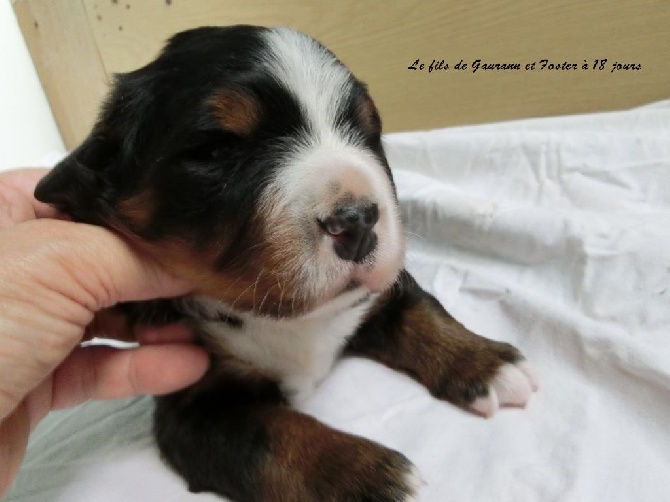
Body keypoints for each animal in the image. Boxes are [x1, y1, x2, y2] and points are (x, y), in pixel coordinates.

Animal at [34, 24, 540, 502]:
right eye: (216, 150)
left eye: (366, 131)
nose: (356, 219)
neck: (292, 320)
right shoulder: (196, 407)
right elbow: (273, 439)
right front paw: (368, 478)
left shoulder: (380, 291)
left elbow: (422, 312)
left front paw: (488, 365)